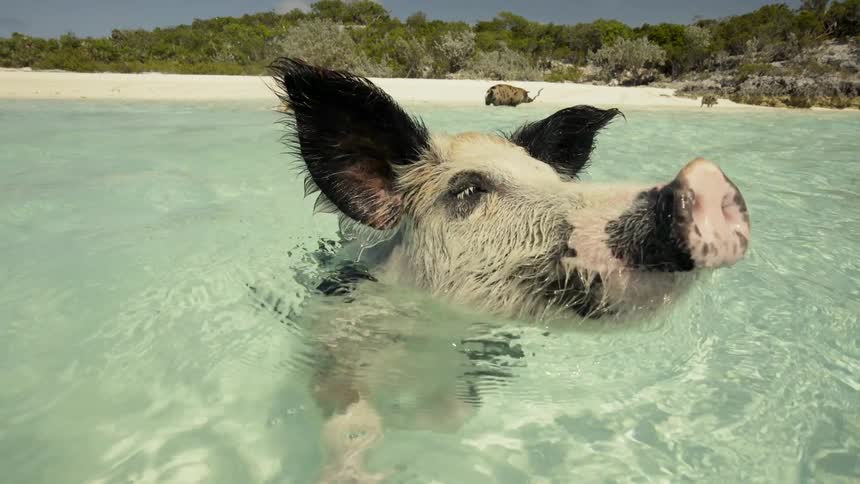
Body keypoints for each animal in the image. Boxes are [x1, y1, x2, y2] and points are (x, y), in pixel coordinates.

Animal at [269, 57, 751, 482]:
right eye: (467, 190)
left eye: (553, 180)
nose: (703, 181)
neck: (434, 330)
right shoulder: (330, 344)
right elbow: (351, 423)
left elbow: (453, 415)